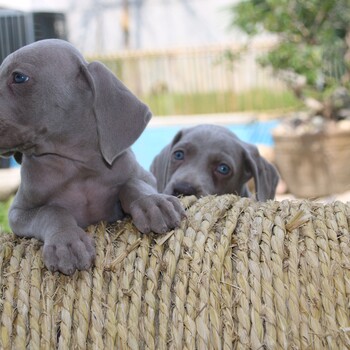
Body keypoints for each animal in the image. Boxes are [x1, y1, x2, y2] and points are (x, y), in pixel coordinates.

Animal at [0, 40, 185, 276]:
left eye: (19, 77)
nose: (66, 241)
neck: (76, 166)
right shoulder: (18, 212)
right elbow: (51, 210)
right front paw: (67, 243)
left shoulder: (147, 178)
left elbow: (133, 184)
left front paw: (154, 203)